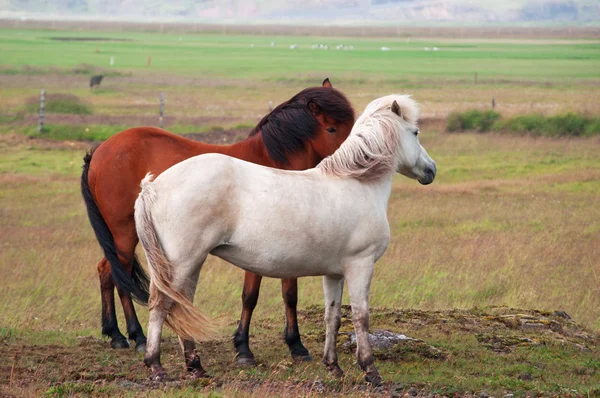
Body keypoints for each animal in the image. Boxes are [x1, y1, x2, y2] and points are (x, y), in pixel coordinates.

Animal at [80, 79, 356, 368]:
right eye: (332, 128)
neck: (275, 164)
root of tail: (100, 151)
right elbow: (250, 296)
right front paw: (244, 348)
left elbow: (289, 295)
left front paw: (296, 346)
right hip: (123, 234)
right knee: (118, 275)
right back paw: (137, 337)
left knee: (106, 271)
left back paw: (116, 334)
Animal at [135, 95, 436, 384]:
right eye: (415, 132)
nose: (431, 170)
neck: (357, 183)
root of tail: (153, 187)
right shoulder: (360, 266)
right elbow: (361, 317)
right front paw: (370, 370)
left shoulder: (335, 273)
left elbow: (333, 317)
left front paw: (333, 366)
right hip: (181, 263)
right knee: (161, 305)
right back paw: (156, 366)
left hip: (191, 263)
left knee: (181, 304)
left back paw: (196, 367)